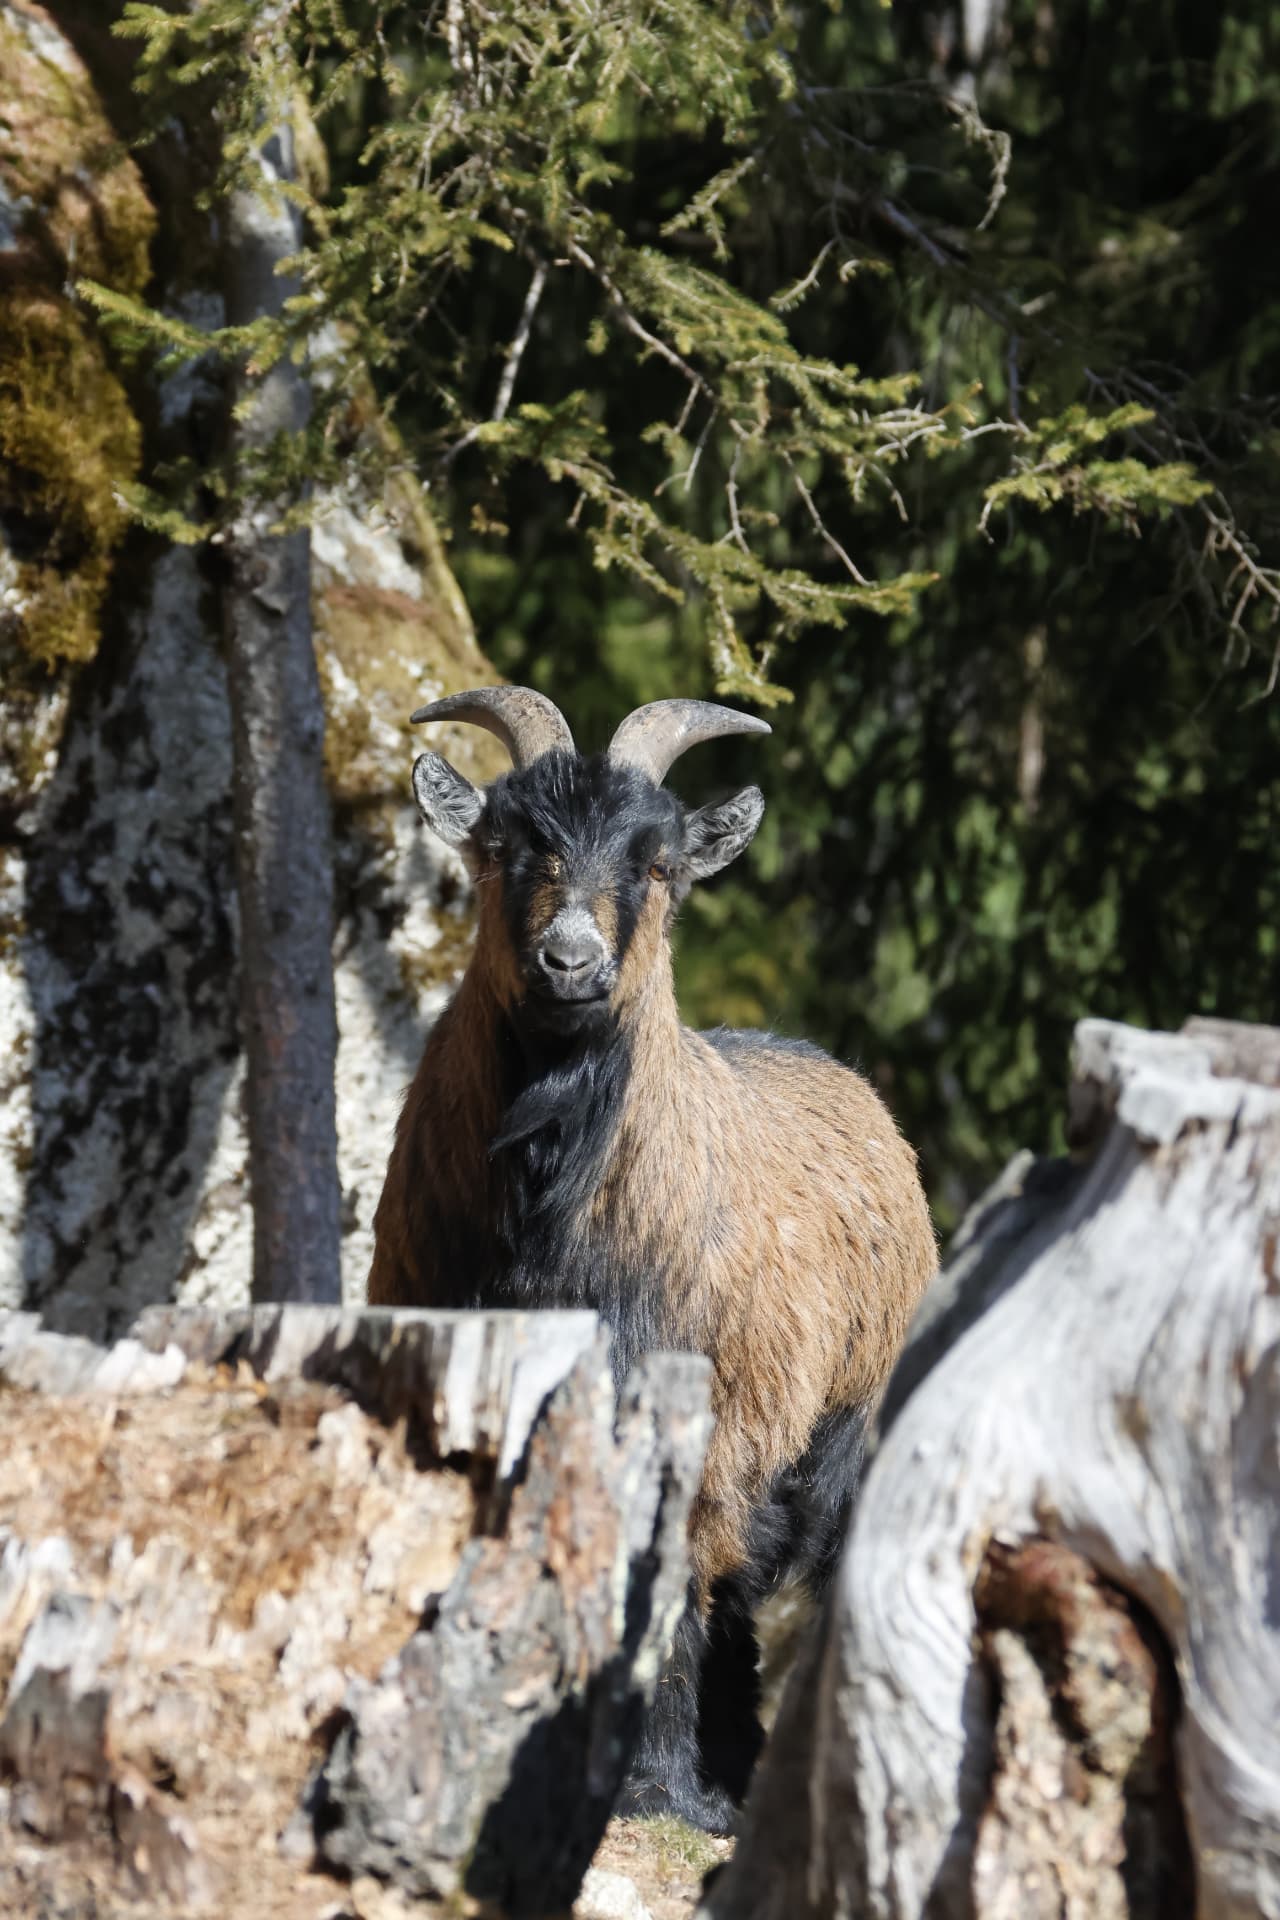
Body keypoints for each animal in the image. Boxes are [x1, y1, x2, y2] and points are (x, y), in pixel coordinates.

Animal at [369, 686, 937, 1831]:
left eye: (662, 864)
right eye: (504, 844)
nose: (571, 962)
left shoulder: (705, 1412)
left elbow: (668, 1574)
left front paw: (650, 1786)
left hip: (845, 1426)